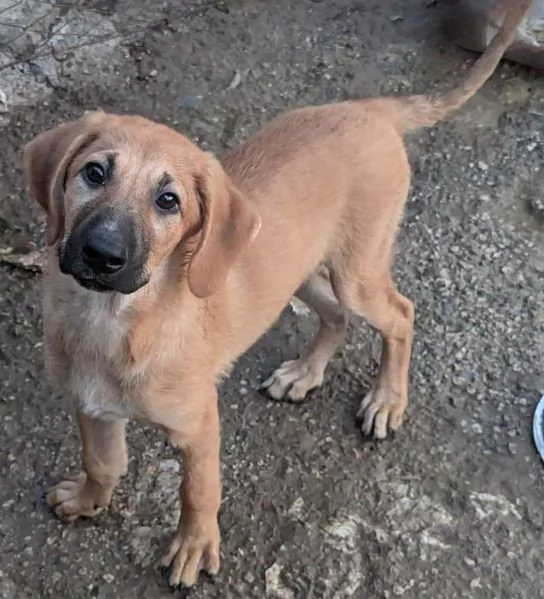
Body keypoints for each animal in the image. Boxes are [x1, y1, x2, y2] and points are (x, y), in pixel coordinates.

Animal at [23, 0, 528, 592]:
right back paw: (305, 374)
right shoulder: (92, 406)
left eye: (169, 201)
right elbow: (102, 463)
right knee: (336, 317)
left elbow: (198, 491)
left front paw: (194, 547)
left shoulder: (200, 423)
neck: (111, 321)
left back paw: (386, 400)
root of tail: (370, 109)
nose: (102, 254)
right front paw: (87, 500)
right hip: (303, 270)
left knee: (401, 315)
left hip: (358, 270)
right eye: (94, 172)